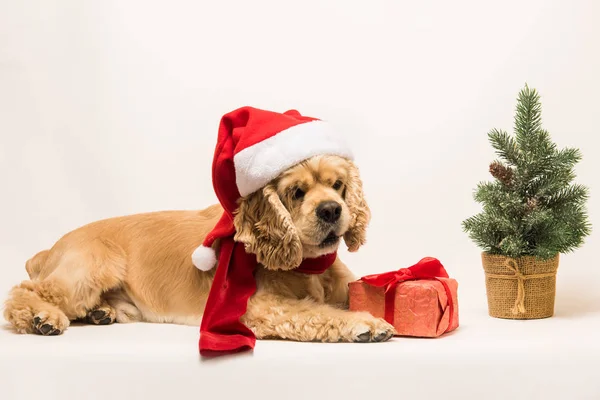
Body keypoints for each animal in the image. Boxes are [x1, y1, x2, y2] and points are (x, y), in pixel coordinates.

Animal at [5, 155, 398, 342]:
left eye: (338, 184)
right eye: (296, 192)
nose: (332, 210)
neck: (309, 264)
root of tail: (50, 249)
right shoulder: (257, 307)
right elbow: (315, 312)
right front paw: (364, 322)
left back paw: (100, 313)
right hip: (93, 266)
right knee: (25, 292)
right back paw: (43, 319)